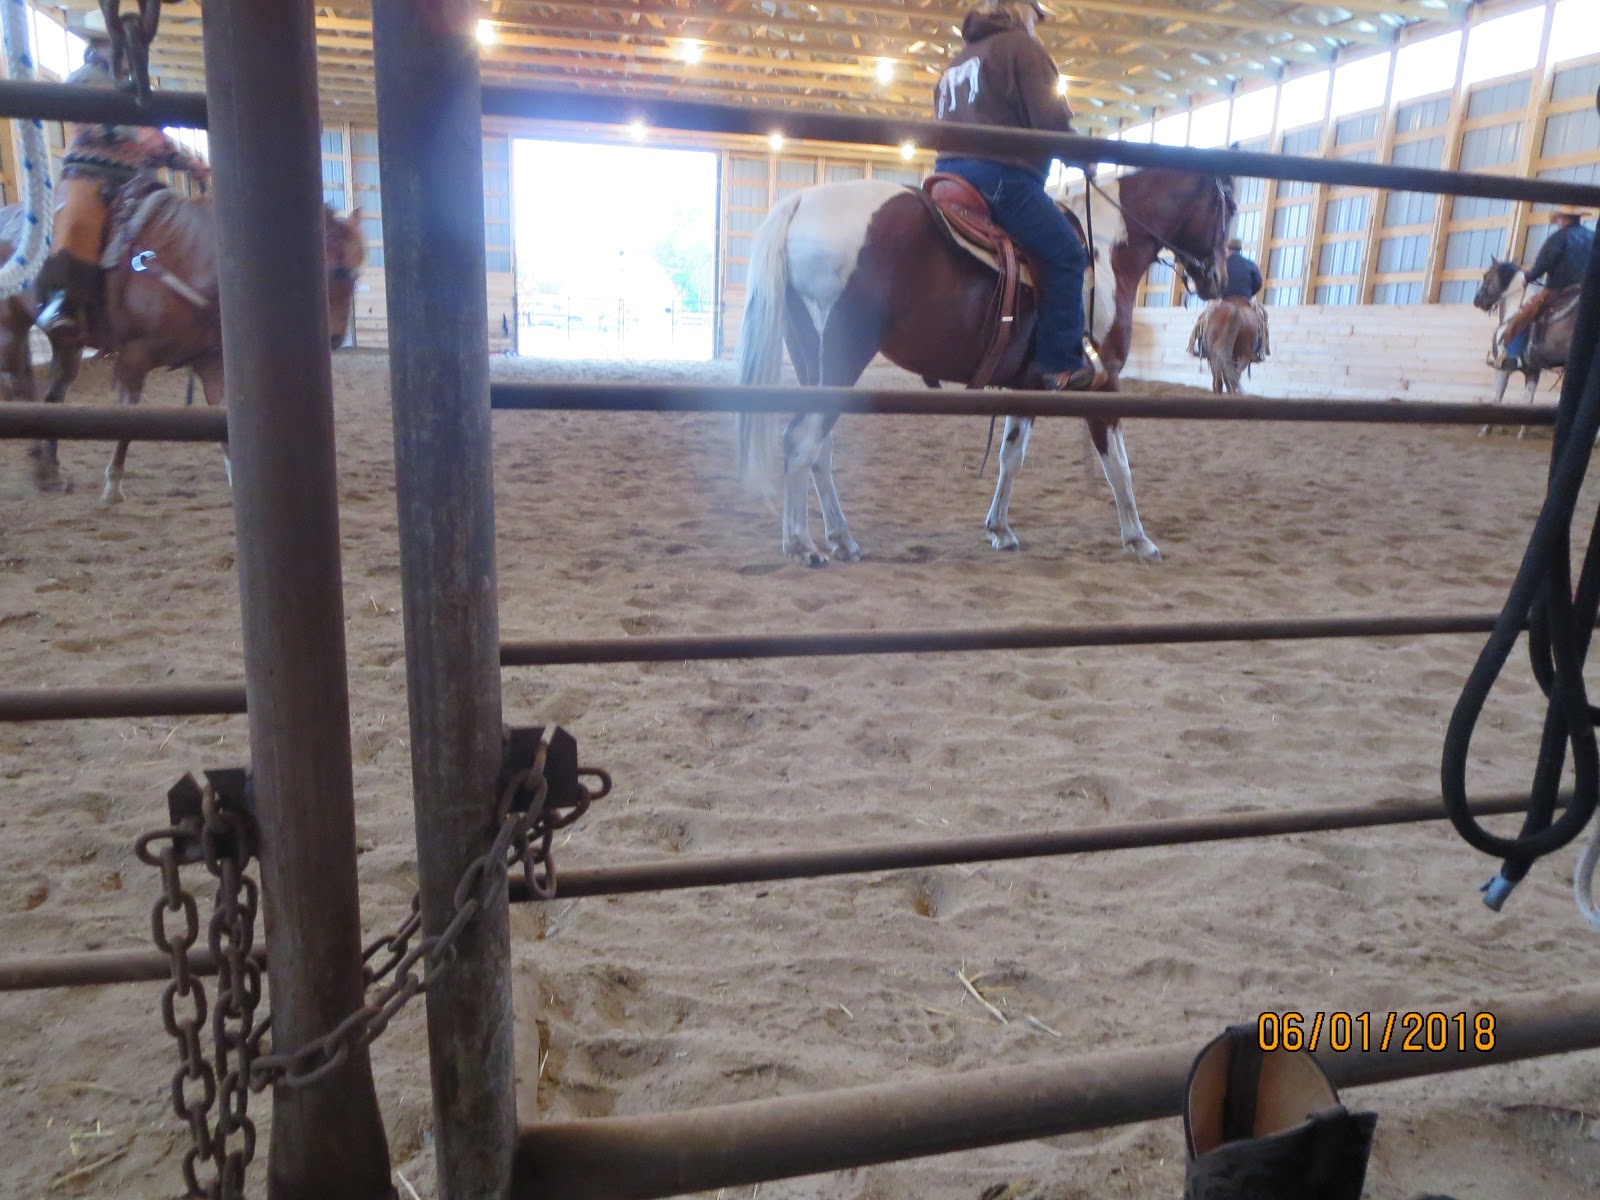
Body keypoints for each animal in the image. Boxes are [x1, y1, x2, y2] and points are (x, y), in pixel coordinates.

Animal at [0, 181, 365, 499]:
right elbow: (128, 419)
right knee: (21, 387)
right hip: (11, 329)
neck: (187, 261)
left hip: (68, 344)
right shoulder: (133, 359)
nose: (334, 339)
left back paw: (49, 471)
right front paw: (113, 484)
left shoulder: (210, 362)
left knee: (51, 399)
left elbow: (225, 418)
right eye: (338, 271)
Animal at [735, 165, 1234, 566]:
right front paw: (1139, 539)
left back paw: (841, 539)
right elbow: (1120, 467)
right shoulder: (1103, 383)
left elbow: (1010, 457)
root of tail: (802, 202)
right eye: (1228, 205)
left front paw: (999, 529)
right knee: (802, 442)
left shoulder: (1032, 386)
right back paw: (801, 545)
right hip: (840, 359)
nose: (1218, 279)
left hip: (813, 363)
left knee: (819, 449)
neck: (1104, 252)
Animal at [1472, 257, 1578, 439]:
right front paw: (1522, 432)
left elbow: (1497, 398)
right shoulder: (1533, 370)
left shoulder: (1504, 367)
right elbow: (1527, 401)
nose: (1477, 300)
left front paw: (1485, 429)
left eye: (1486, 276)